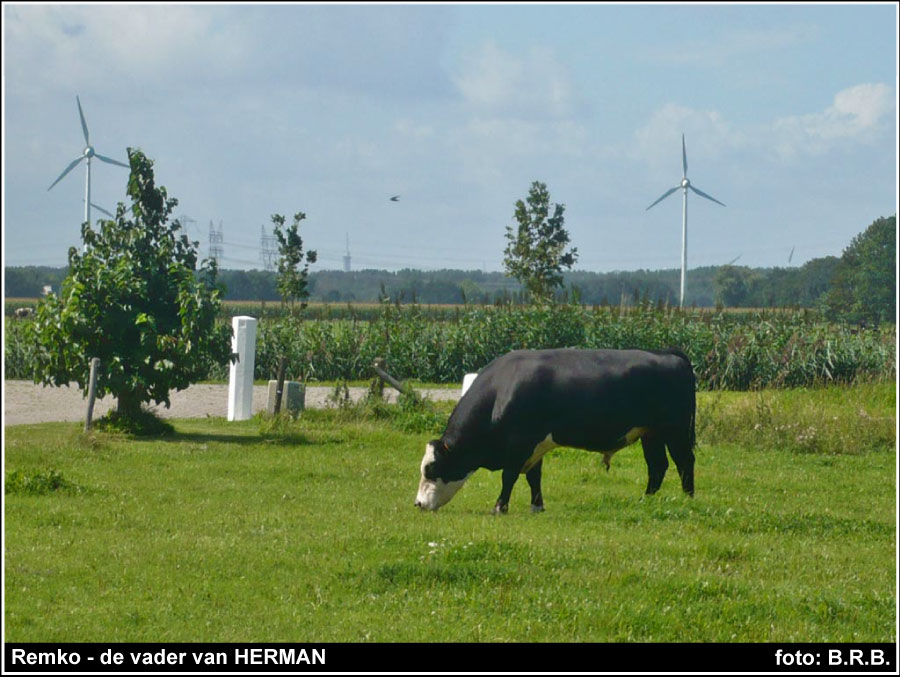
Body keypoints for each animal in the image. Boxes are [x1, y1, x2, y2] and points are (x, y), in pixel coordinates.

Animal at [414, 348, 696, 512]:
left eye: (432, 469)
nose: (418, 503)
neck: (501, 392)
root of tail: (671, 355)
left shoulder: (520, 443)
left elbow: (509, 476)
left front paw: (500, 506)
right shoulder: (535, 446)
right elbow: (533, 477)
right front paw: (537, 506)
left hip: (676, 430)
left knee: (684, 461)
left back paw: (687, 498)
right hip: (651, 433)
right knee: (657, 466)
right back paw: (646, 499)